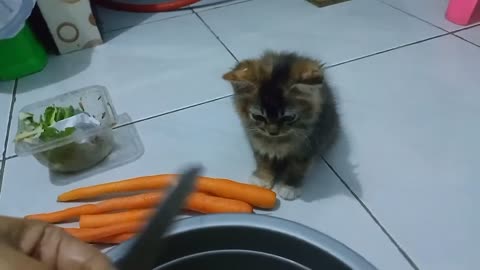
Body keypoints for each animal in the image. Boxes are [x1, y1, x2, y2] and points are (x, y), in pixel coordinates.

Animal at [223, 51, 340, 200]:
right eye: (258, 117)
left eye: (288, 117)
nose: (272, 132)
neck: (278, 141)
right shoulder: (257, 140)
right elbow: (264, 159)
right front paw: (262, 178)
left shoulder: (310, 143)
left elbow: (298, 166)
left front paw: (289, 186)